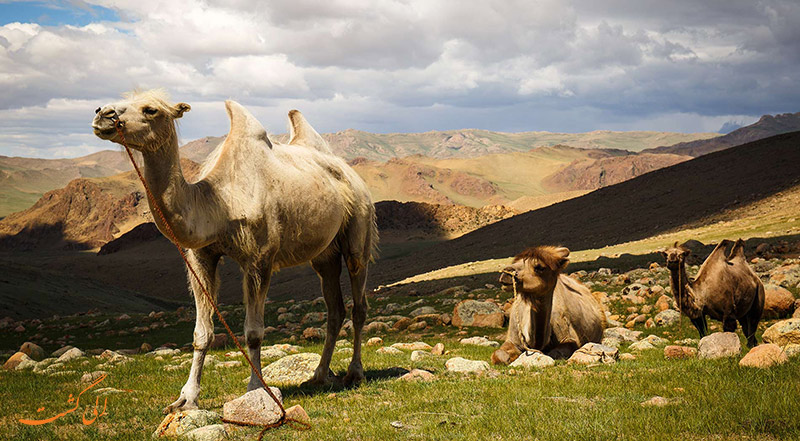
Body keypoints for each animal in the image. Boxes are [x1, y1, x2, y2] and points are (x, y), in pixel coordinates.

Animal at [90, 89, 378, 412]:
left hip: (360, 225)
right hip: (324, 254)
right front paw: (185, 398)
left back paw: (355, 372)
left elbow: (253, 332)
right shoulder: (200, 257)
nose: (103, 113)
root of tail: (349, 172)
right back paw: (318, 375)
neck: (219, 204)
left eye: (151, 110)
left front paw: (256, 390)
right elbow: (201, 333)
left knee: (358, 300)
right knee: (334, 307)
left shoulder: (259, 258)